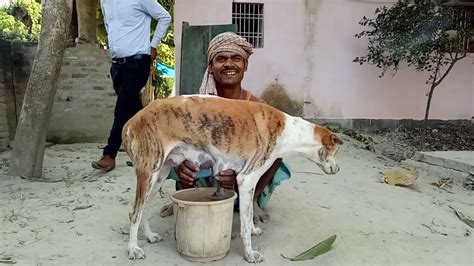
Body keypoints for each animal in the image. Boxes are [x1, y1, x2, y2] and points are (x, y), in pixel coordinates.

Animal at [121, 94, 344, 262]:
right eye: (335, 152)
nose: (338, 169)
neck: (289, 132)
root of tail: (131, 120)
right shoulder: (247, 179)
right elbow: (244, 222)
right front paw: (250, 253)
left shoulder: (248, 181)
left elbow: (249, 214)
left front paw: (253, 229)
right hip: (149, 173)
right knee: (134, 213)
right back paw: (132, 249)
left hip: (160, 173)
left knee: (144, 209)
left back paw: (149, 236)